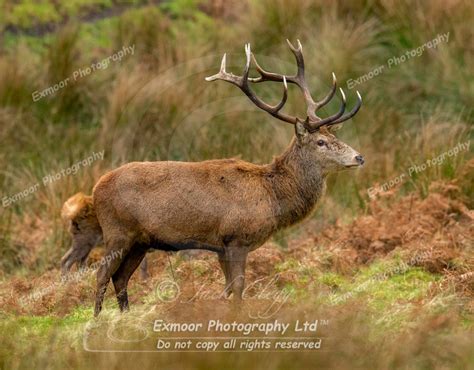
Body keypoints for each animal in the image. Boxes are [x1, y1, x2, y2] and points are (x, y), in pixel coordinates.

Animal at [92, 41, 362, 318]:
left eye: (335, 137)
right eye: (321, 142)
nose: (359, 157)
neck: (273, 196)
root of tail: (96, 187)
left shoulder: (221, 247)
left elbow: (229, 286)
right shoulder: (237, 238)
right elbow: (239, 286)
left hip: (140, 241)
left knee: (120, 278)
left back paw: (124, 317)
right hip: (117, 231)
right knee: (101, 275)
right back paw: (96, 319)